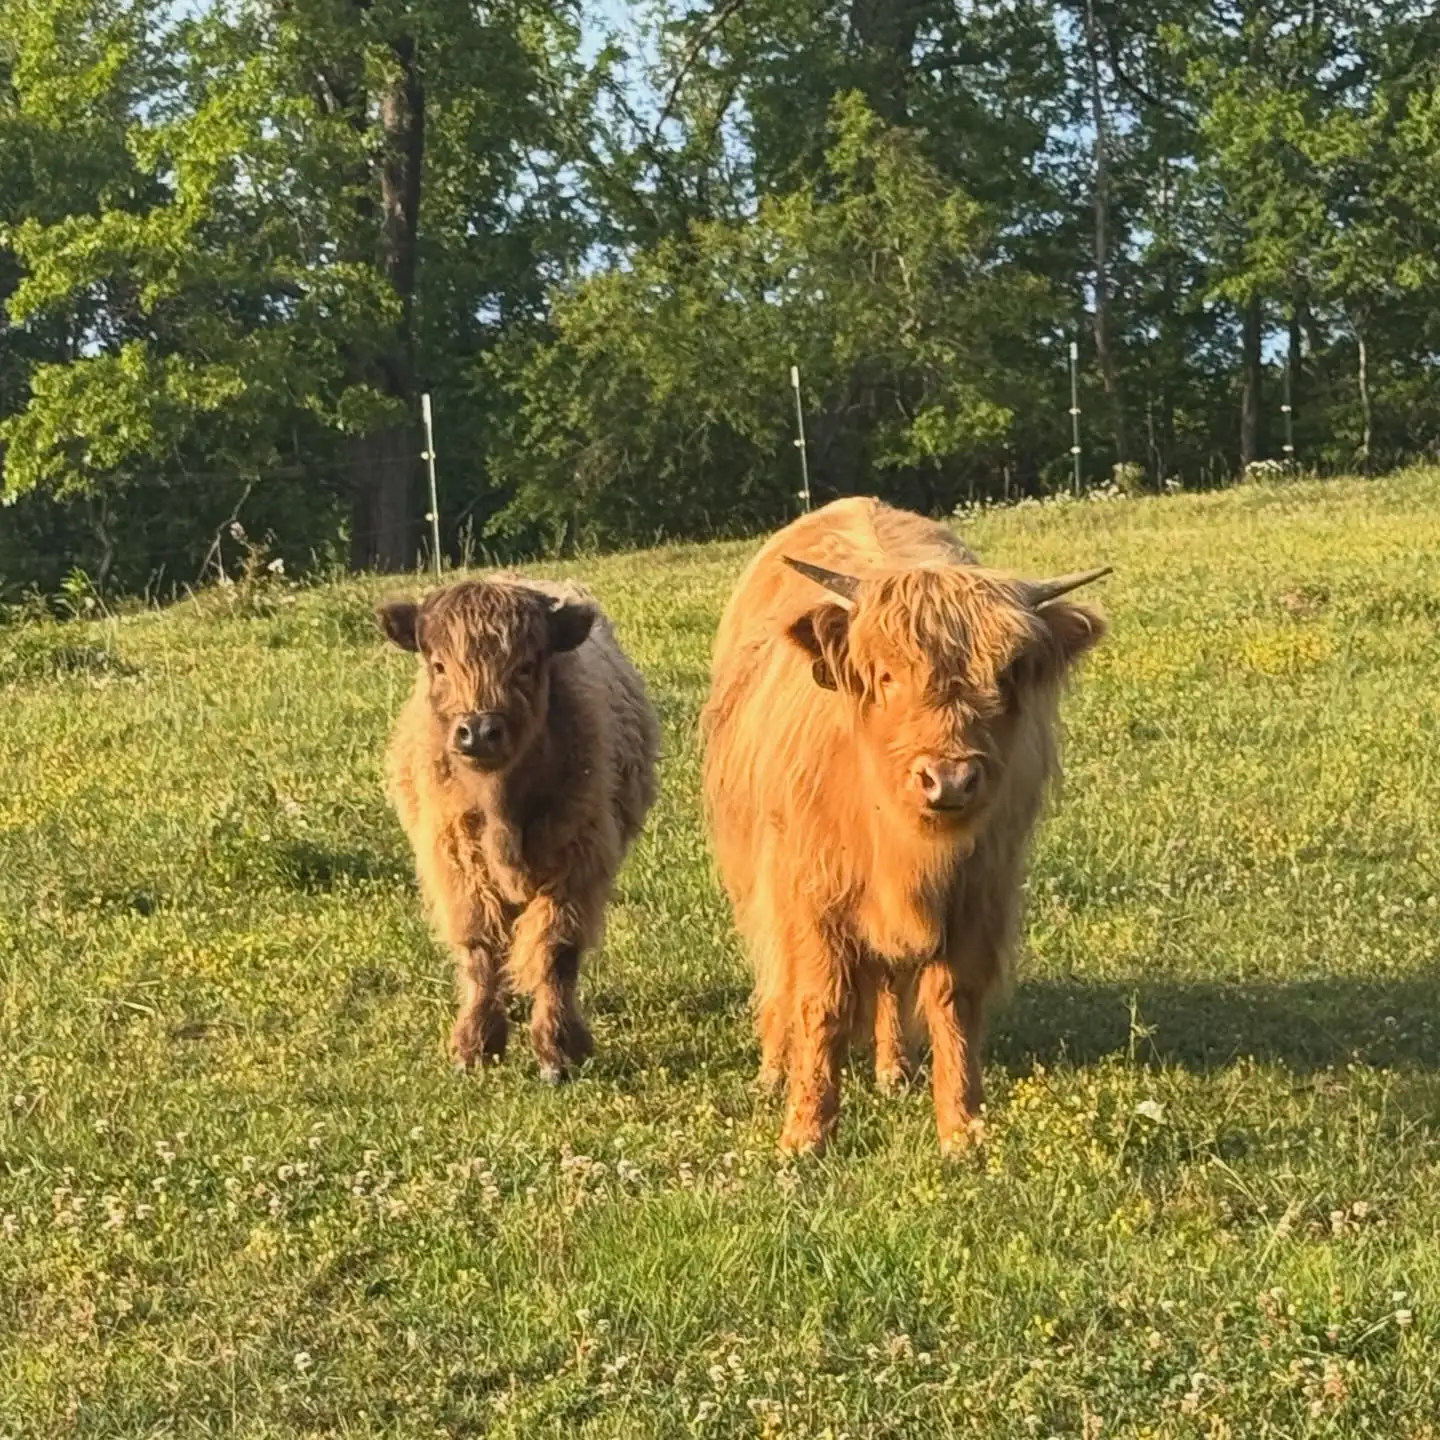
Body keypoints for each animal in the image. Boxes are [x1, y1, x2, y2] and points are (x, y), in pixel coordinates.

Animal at [377, 576, 659, 1081]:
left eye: (526, 666)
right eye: (439, 665)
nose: (478, 731)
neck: (500, 809)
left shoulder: (576, 861)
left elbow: (555, 950)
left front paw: (558, 1052)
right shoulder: (456, 864)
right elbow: (480, 951)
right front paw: (475, 1045)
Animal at [701, 497, 1109, 1154]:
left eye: (1006, 676)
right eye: (887, 676)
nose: (949, 780)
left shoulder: (979, 893)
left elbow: (953, 1000)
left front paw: (962, 1128)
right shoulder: (810, 894)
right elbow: (820, 1001)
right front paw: (805, 1134)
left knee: (891, 980)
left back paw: (893, 1069)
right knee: (777, 978)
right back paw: (772, 1071)